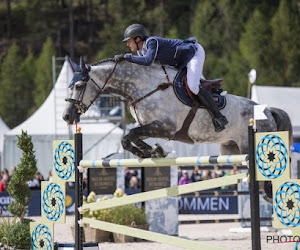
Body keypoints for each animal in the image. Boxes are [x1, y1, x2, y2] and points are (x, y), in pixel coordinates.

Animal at [62, 56, 292, 159]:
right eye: (69, 86)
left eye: (79, 86)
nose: (66, 116)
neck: (144, 87)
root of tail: (267, 110)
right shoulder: (150, 125)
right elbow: (131, 136)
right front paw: (152, 151)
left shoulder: (167, 127)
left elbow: (129, 135)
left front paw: (151, 150)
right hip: (230, 148)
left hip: (248, 145)